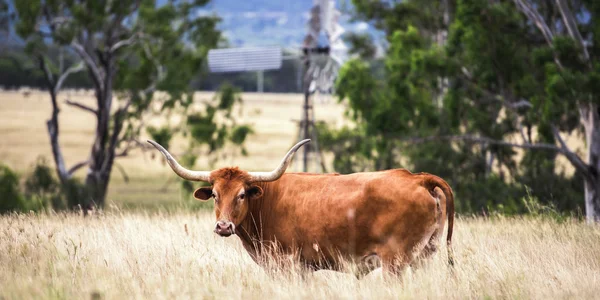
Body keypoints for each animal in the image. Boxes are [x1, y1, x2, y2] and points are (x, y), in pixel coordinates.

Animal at [148, 139, 452, 276]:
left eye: (242, 194)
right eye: (214, 194)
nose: (223, 226)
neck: (267, 202)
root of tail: (417, 177)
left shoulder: (289, 267)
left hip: (395, 262)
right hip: (425, 257)